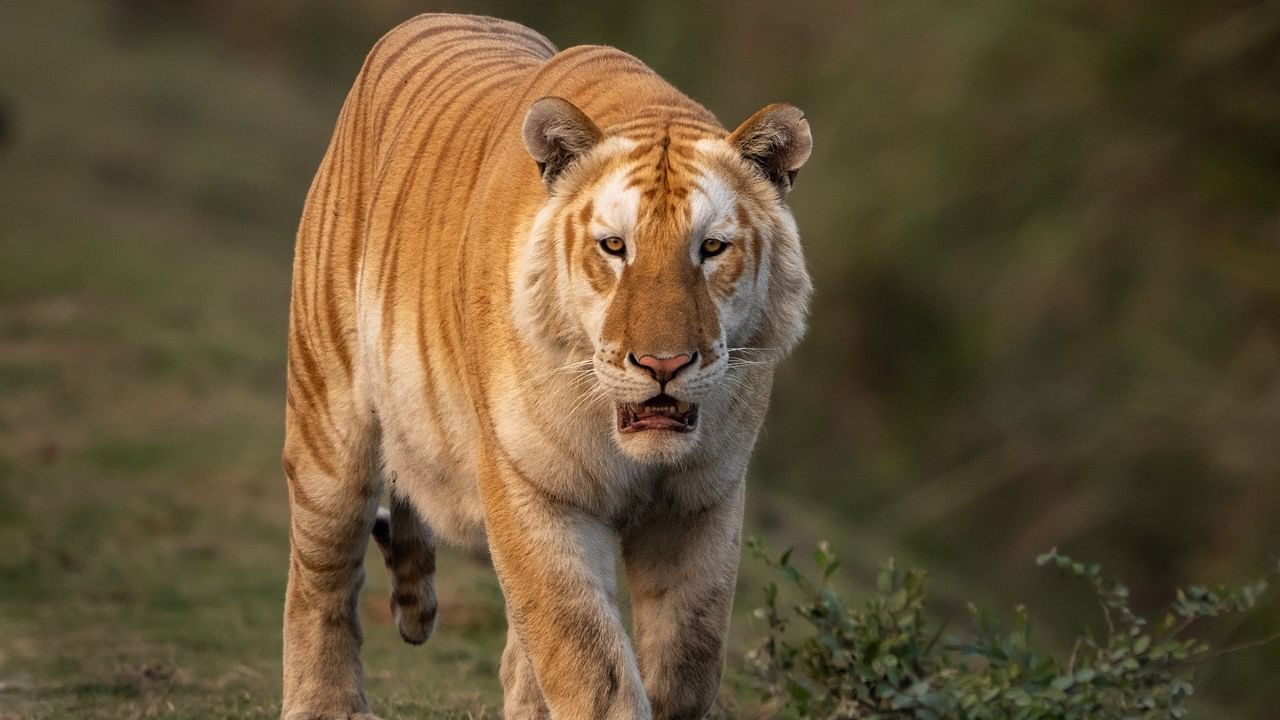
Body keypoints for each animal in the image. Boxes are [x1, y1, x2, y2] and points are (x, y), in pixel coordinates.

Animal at [285, 12, 814, 717]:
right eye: (614, 247)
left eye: (711, 249)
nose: (664, 363)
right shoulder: (534, 488)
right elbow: (589, 661)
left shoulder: (703, 500)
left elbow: (688, 659)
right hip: (329, 422)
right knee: (321, 575)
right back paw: (325, 703)